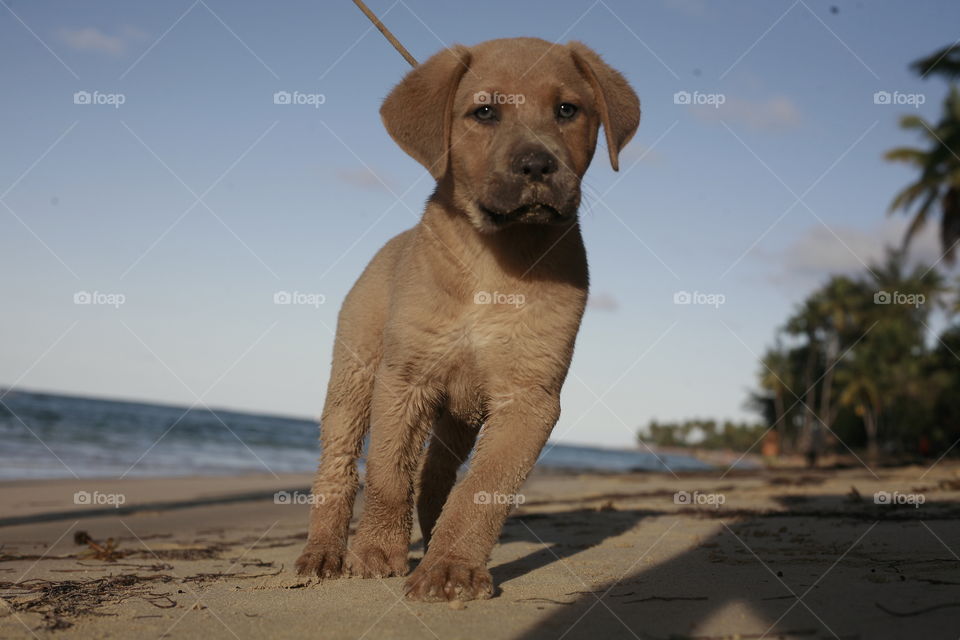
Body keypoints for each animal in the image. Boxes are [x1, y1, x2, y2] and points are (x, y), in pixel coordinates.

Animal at [292, 38, 636, 600]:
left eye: (567, 110)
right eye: (485, 112)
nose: (537, 166)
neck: (495, 259)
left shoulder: (529, 397)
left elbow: (483, 488)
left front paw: (451, 567)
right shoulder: (405, 379)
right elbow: (387, 474)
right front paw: (377, 551)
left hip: (460, 411)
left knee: (436, 474)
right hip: (354, 380)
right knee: (339, 468)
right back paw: (323, 552)